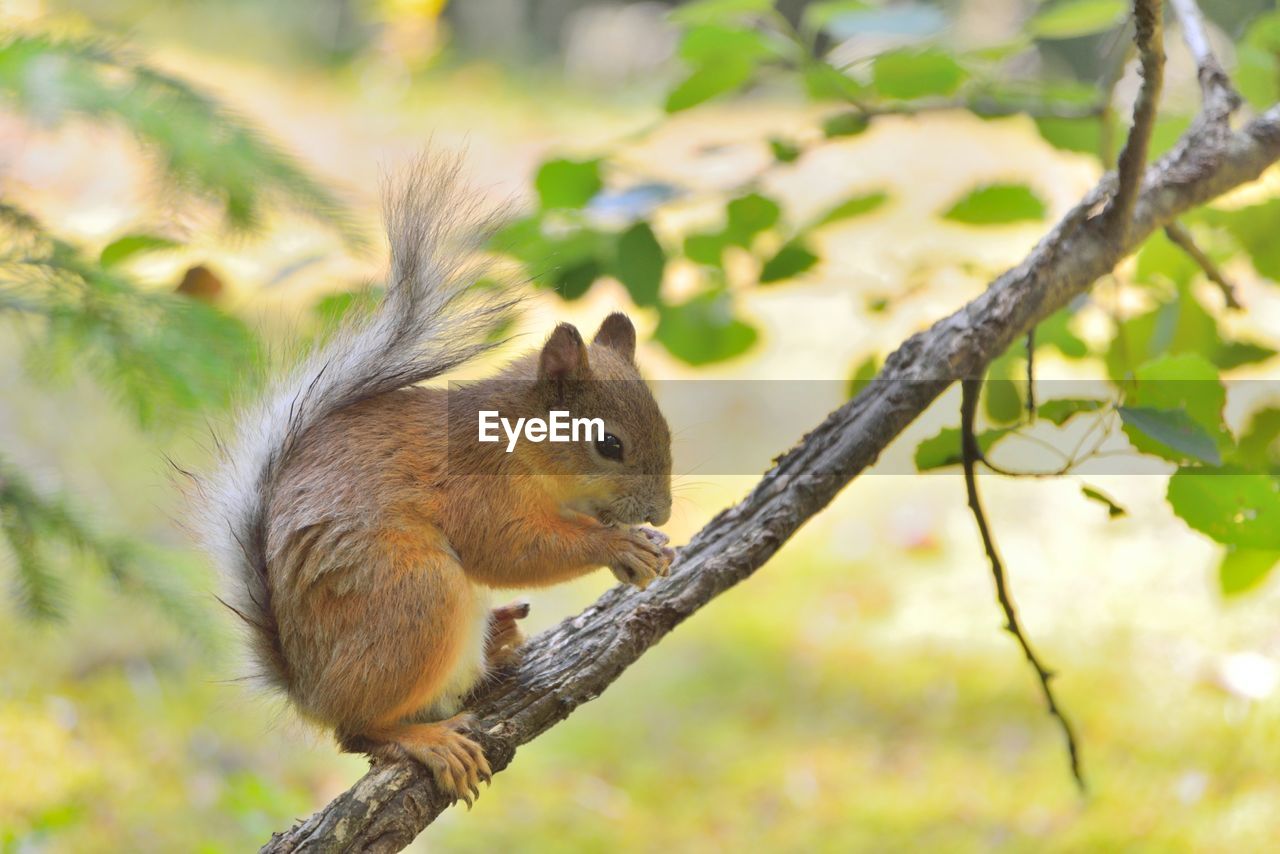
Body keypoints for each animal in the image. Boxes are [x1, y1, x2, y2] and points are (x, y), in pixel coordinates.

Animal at [192, 160, 670, 809]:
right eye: (610, 445)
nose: (663, 512)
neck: (518, 442)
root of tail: (309, 690)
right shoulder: (474, 484)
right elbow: (507, 548)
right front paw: (616, 544)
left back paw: (500, 640)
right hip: (415, 595)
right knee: (357, 731)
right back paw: (426, 739)